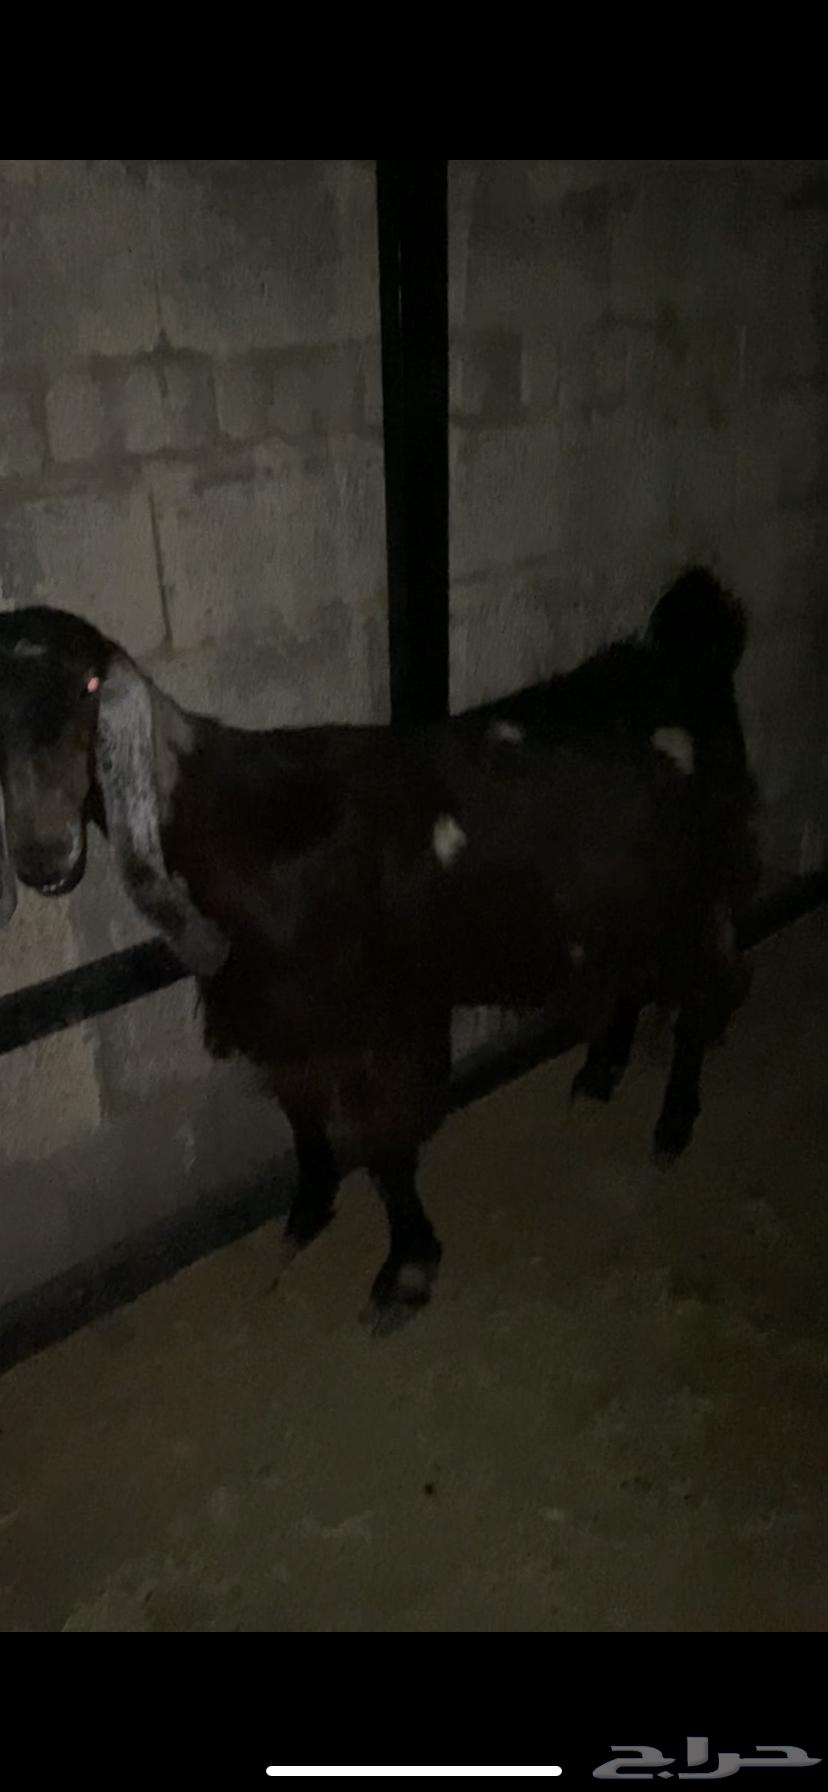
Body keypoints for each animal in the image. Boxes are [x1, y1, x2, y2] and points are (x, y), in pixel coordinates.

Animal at [0, 570, 758, 1333]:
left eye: (91, 684)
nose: (43, 856)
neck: (229, 821)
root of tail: (685, 654)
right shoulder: (282, 1014)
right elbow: (301, 1113)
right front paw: (310, 1209)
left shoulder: (370, 1016)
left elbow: (386, 1151)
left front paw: (407, 1268)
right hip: (620, 903)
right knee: (631, 977)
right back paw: (601, 1073)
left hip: (693, 892)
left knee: (702, 999)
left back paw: (673, 1123)